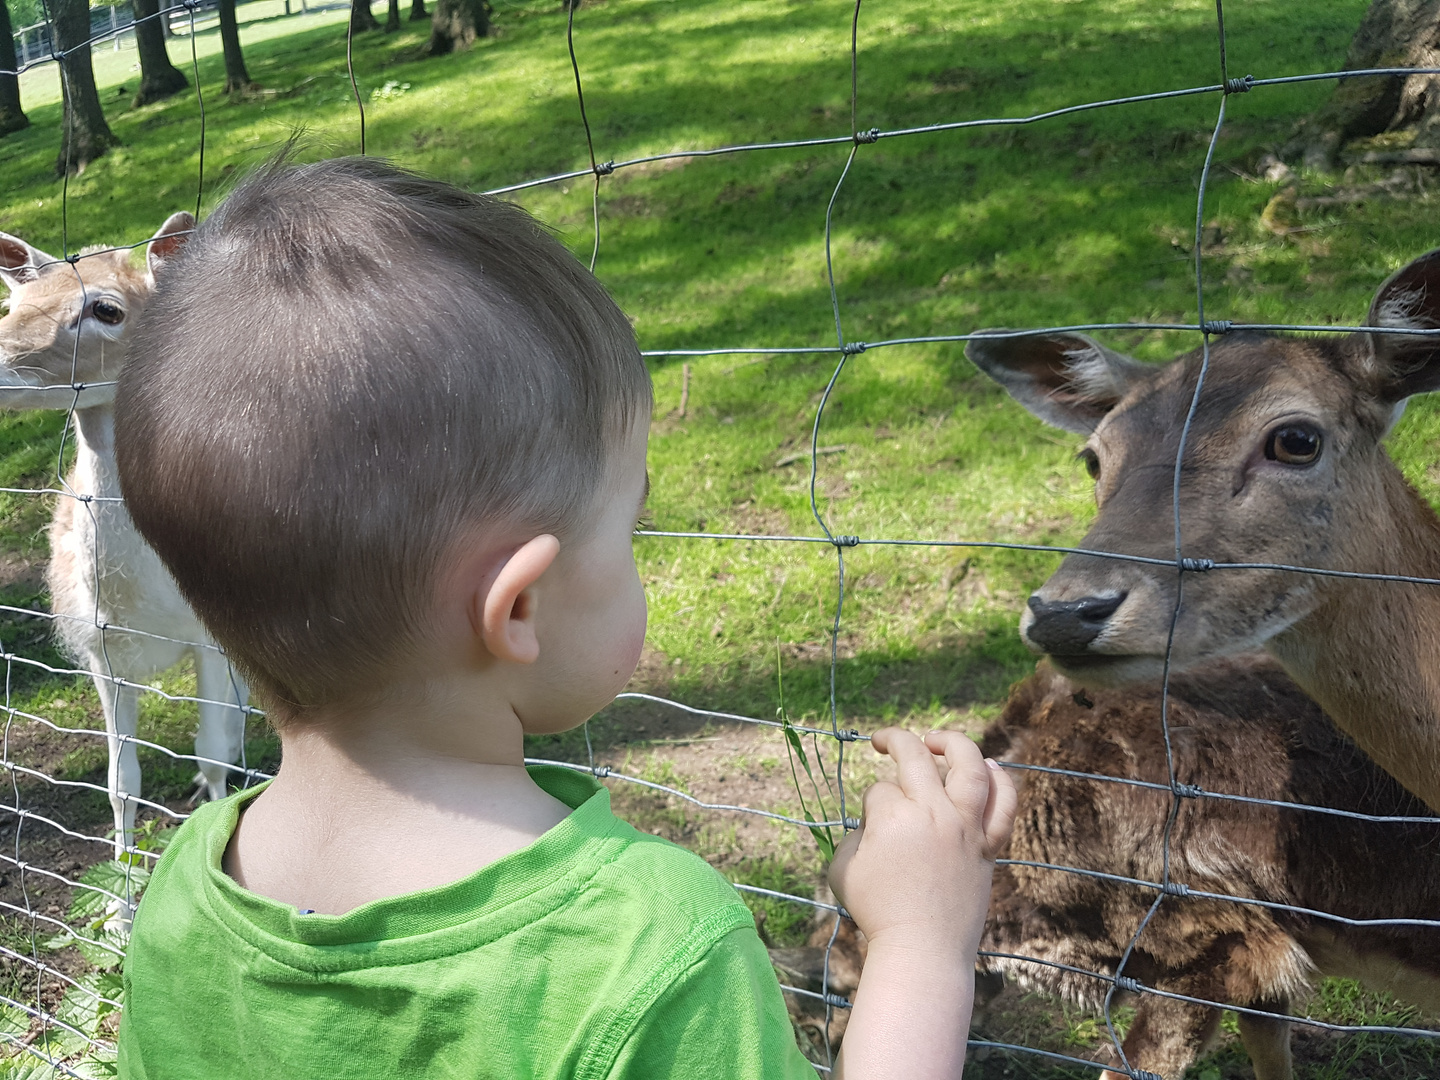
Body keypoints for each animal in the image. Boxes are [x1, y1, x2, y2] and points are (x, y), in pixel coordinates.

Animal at [0, 224, 249, 869]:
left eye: (106, 309)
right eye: (12, 303)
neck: (144, 610)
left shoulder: (207, 639)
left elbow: (209, 750)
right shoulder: (100, 653)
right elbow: (120, 782)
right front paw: (121, 887)